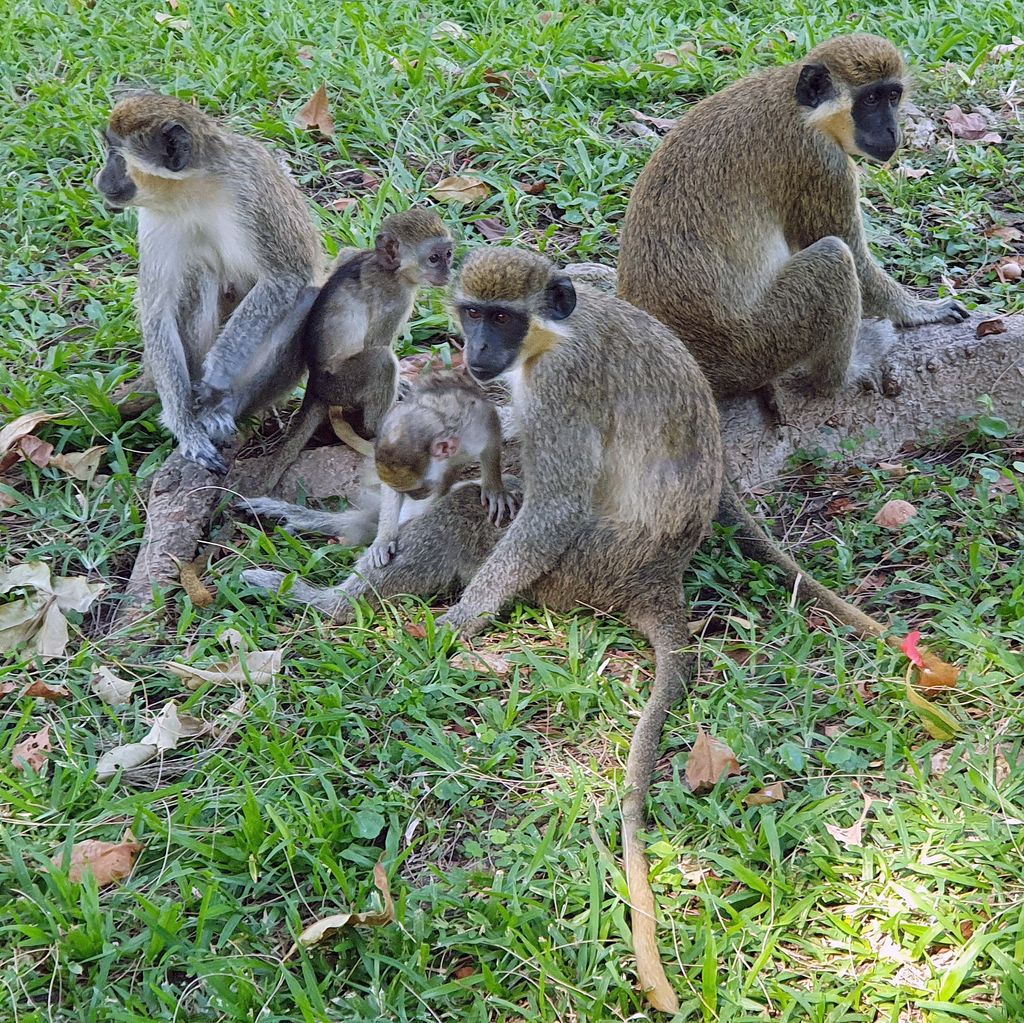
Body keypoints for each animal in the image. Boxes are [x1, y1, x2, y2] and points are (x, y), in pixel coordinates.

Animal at [95, 92, 321, 471]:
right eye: (108, 151)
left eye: (117, 156)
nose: (100, 178)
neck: (190, 189)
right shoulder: (155, 219)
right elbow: (157, 315)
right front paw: (185, 427)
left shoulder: (252, 185)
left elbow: (287, 277)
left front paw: (216, 373)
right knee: (199, 273)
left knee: (306, 297)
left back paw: (225, 406)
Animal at [235, 372, 516, 569]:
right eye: (412, 490)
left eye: (420, 488)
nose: (416, 498)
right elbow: (390, 492)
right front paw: (385, 537)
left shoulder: (475, 431)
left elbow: (492, 436)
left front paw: (494, 488)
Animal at [614, 36, 966, 411]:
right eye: (871, 99)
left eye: (893, 96)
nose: (891, 130)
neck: (800, 109)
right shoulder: (821, 162)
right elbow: (854, 258)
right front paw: (919, 310)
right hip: (758, 345)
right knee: (834, 257)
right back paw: (841, 375)